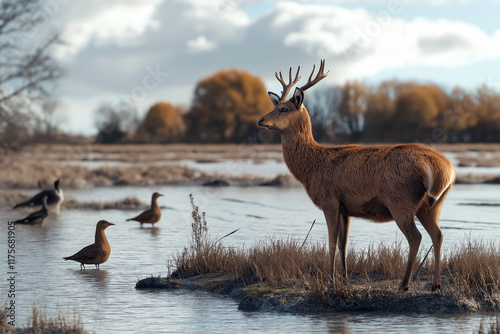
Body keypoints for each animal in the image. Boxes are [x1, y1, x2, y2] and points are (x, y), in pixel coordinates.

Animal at [258, 60, 458, 292]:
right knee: (438, 234)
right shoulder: (346, 208)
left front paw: (330, 281)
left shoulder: (329, 200)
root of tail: (445, 168)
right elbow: (343, 244)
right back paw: (436, 284)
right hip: (433, 204)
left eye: (284, 109)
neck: (312, 168)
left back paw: (404, 284)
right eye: (274, 106)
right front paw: (343, 279)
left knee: (415, 237)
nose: (260, 120)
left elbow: (331, 242)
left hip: (400, 200)